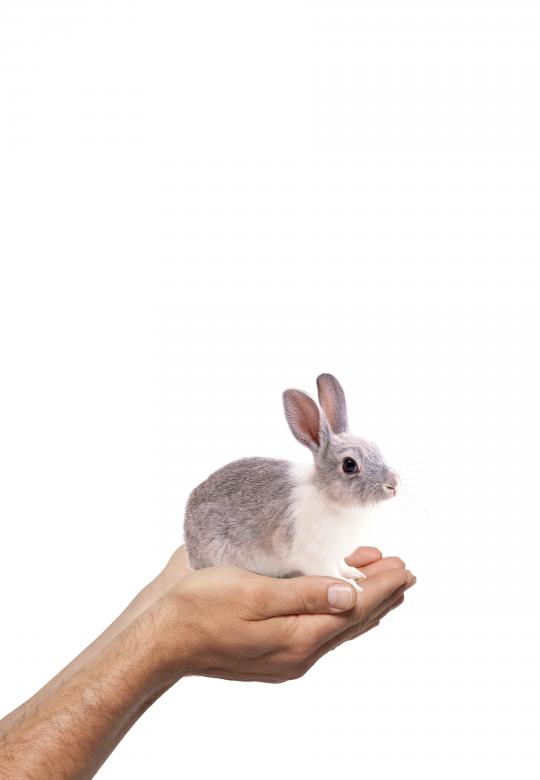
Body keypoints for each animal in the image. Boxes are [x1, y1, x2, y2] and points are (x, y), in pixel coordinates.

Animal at [183, 373, 399, 589]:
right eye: (349, 464)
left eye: (375, 447)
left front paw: (355, 574)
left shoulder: (335, 555)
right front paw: (351, 586)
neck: (327, 496)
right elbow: (330, 572)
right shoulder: (314, 555)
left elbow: (341, 565)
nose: (393, 484)